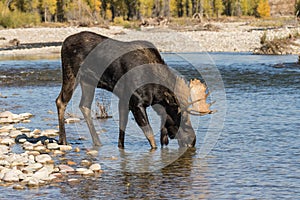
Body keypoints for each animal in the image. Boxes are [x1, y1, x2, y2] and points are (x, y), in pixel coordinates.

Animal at [56, 31, 214, 149]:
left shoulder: (125, 100)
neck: (156, 92)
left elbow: (122, 129)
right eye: (183, 119)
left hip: (88, 82)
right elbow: (150, 135)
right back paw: (63, 140)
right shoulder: (136, 103)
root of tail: (64, 42)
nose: (192, 141)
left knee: (84, 106)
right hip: (72, 75)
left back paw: (97, 142)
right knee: (61, 101)